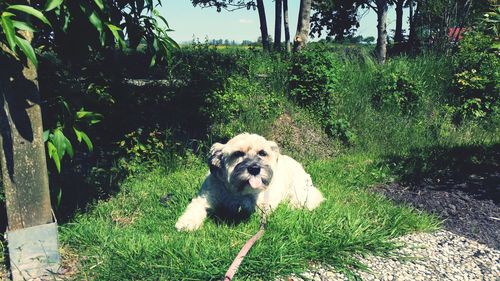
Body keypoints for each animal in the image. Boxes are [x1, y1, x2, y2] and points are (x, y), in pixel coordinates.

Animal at [176, 132, 324, 231]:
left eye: (262, 153)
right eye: (238, 154)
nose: (254, 169)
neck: (235, 192)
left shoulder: (261, 204)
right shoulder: (205, 197)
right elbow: (195, 207)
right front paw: (187, 222)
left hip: (299, 190)